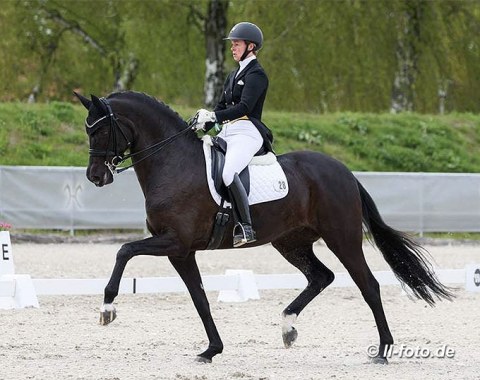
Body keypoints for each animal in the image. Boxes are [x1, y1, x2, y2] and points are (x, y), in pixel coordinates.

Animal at [73, 91, 452, 366]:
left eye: (100, 129)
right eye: (87, 128)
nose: (95, 176)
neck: (172, 163)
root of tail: (343, 170)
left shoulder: (173, 242)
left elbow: (124, 251)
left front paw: (107, 309)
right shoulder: (181, 251)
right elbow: (200, 299)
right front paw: (211, 350)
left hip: (342, 238)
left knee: (368, 285)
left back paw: (383, 350)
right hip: (290, 242)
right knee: (321, 277)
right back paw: (287, 327)